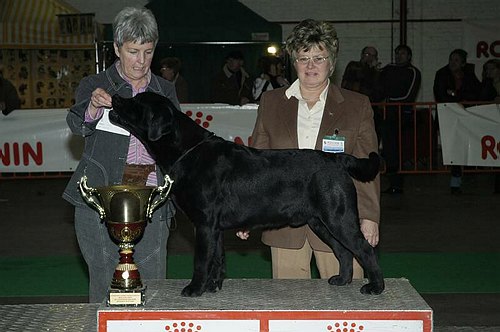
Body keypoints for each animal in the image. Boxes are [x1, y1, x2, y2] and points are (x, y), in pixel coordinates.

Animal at [109, 91, 382, 296]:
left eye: (135, 102)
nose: (115, 96)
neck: (187, 151)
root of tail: (337, 159)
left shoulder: (204, 222)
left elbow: (201, 260)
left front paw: (195, 289)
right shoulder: (215, 227)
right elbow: (217, 258)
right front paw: (213, 286)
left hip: (338, 217)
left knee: (364, 249)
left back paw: (375, 287)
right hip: (321, 222)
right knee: (343, 251)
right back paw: (342, 280)